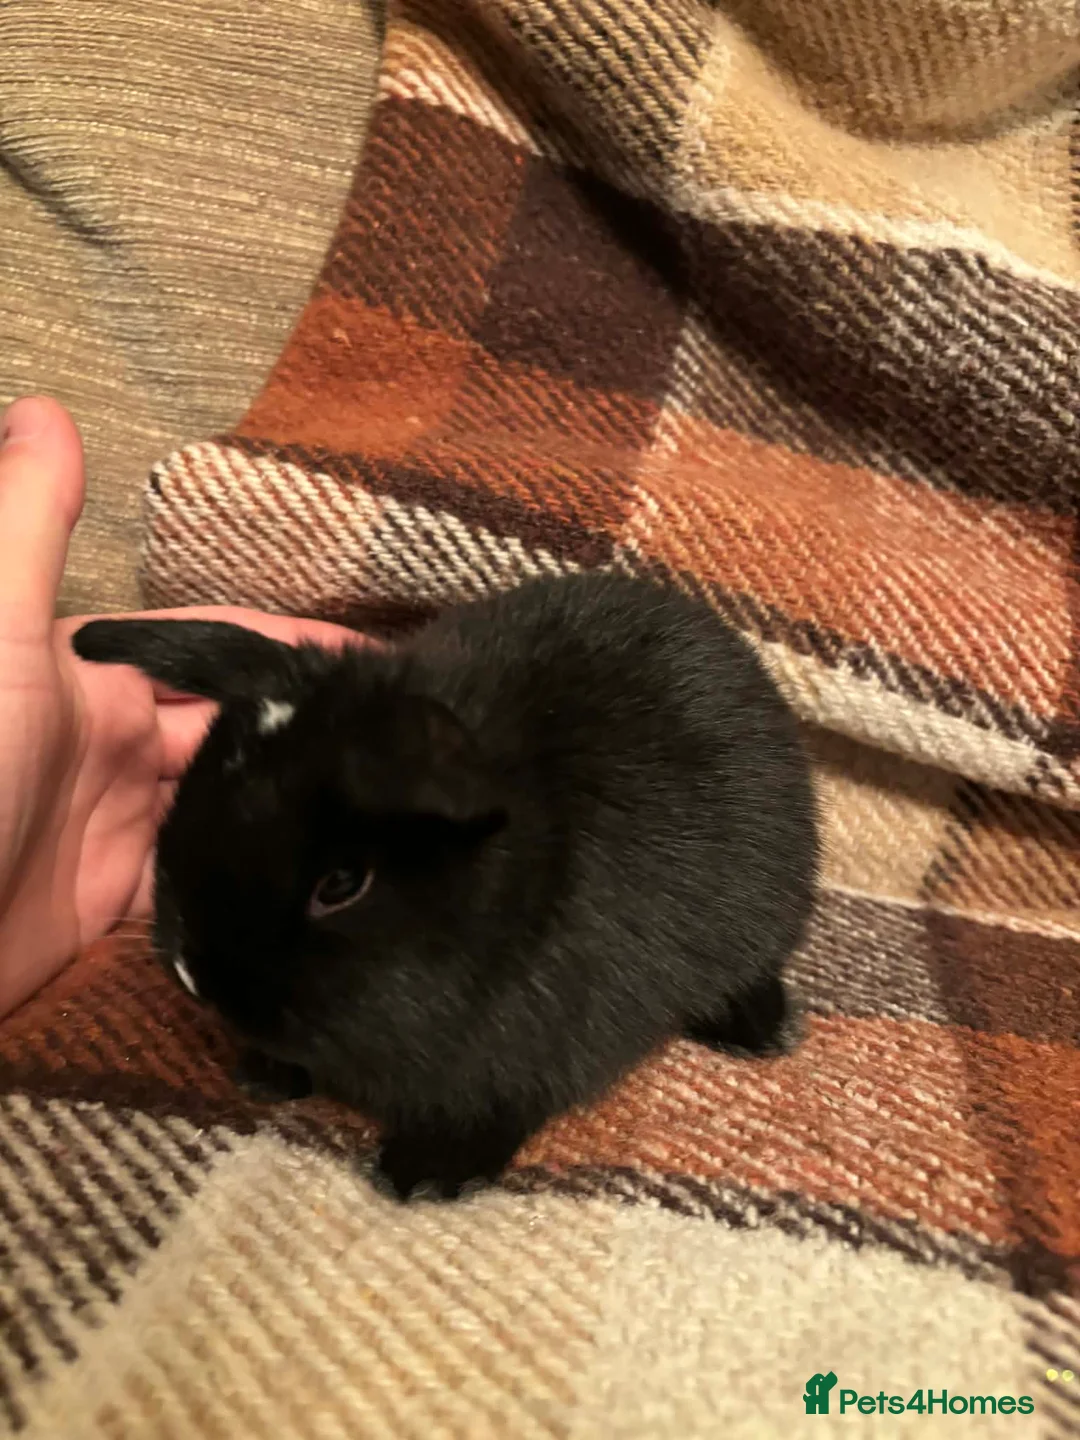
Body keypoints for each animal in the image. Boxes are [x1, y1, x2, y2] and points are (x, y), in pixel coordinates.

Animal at [73, 571, 819, 1201]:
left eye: (341, 884)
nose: (192, 974)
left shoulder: (530, 1053)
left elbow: (497, 1108)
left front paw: (422, 1176)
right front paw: (265, 1075)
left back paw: (759, 1032)